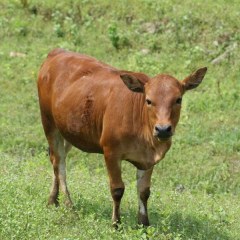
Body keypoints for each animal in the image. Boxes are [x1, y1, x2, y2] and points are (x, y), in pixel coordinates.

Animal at [37, 48, 206, 227]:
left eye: (178, 99)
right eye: (148, 100)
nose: (163, 129)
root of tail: (57, 52)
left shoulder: (149, 159)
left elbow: (144, 191)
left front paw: (144, 223)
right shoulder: (111, 152)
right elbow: (117, 189)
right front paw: (116, 223)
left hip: (68, 130)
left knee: (57, 159)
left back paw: (53, 200)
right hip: (49, 123)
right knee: (59, 163)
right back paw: (69, 206)